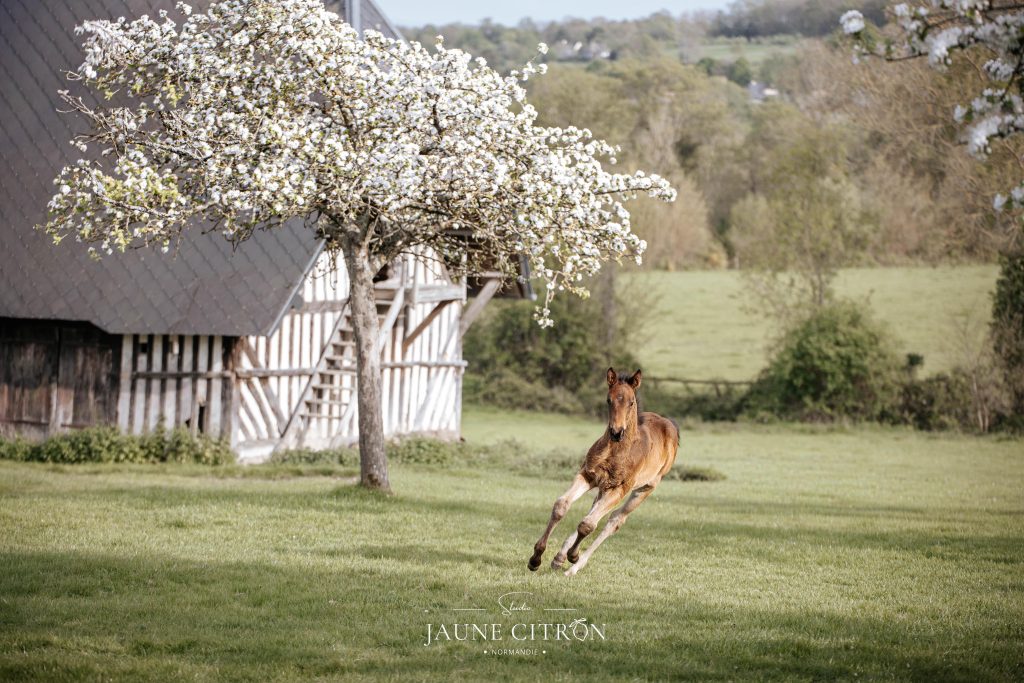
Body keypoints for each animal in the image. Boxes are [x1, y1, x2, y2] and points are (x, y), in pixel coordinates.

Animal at [528, 367, 680, 576]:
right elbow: (562, 507)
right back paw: (559, 557)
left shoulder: (619, 489)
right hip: (604, 487)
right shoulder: (588, 475)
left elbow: (588, 524)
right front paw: (536, 558)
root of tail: (669, 424)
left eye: (631, 402)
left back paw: (574, 567)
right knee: (594, 510)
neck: (614, 451)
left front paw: (573, 556)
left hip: (645, 488)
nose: (616, 432)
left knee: (614, 521)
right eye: (609, 400)